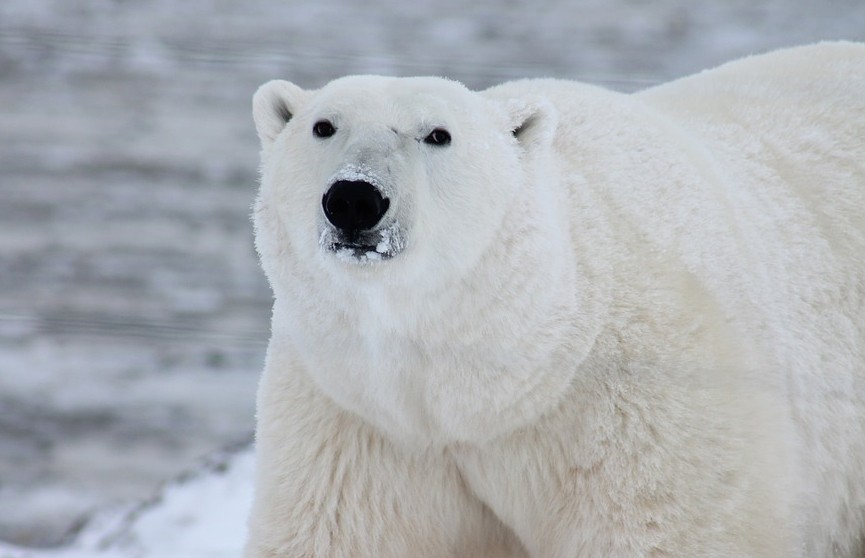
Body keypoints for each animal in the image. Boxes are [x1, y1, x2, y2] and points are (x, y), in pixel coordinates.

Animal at [241, 43, 864, 558]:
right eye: (323, 125)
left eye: (437, 134)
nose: (354, 198)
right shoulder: (357, 417)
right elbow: (340, 533)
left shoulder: (641, 406)